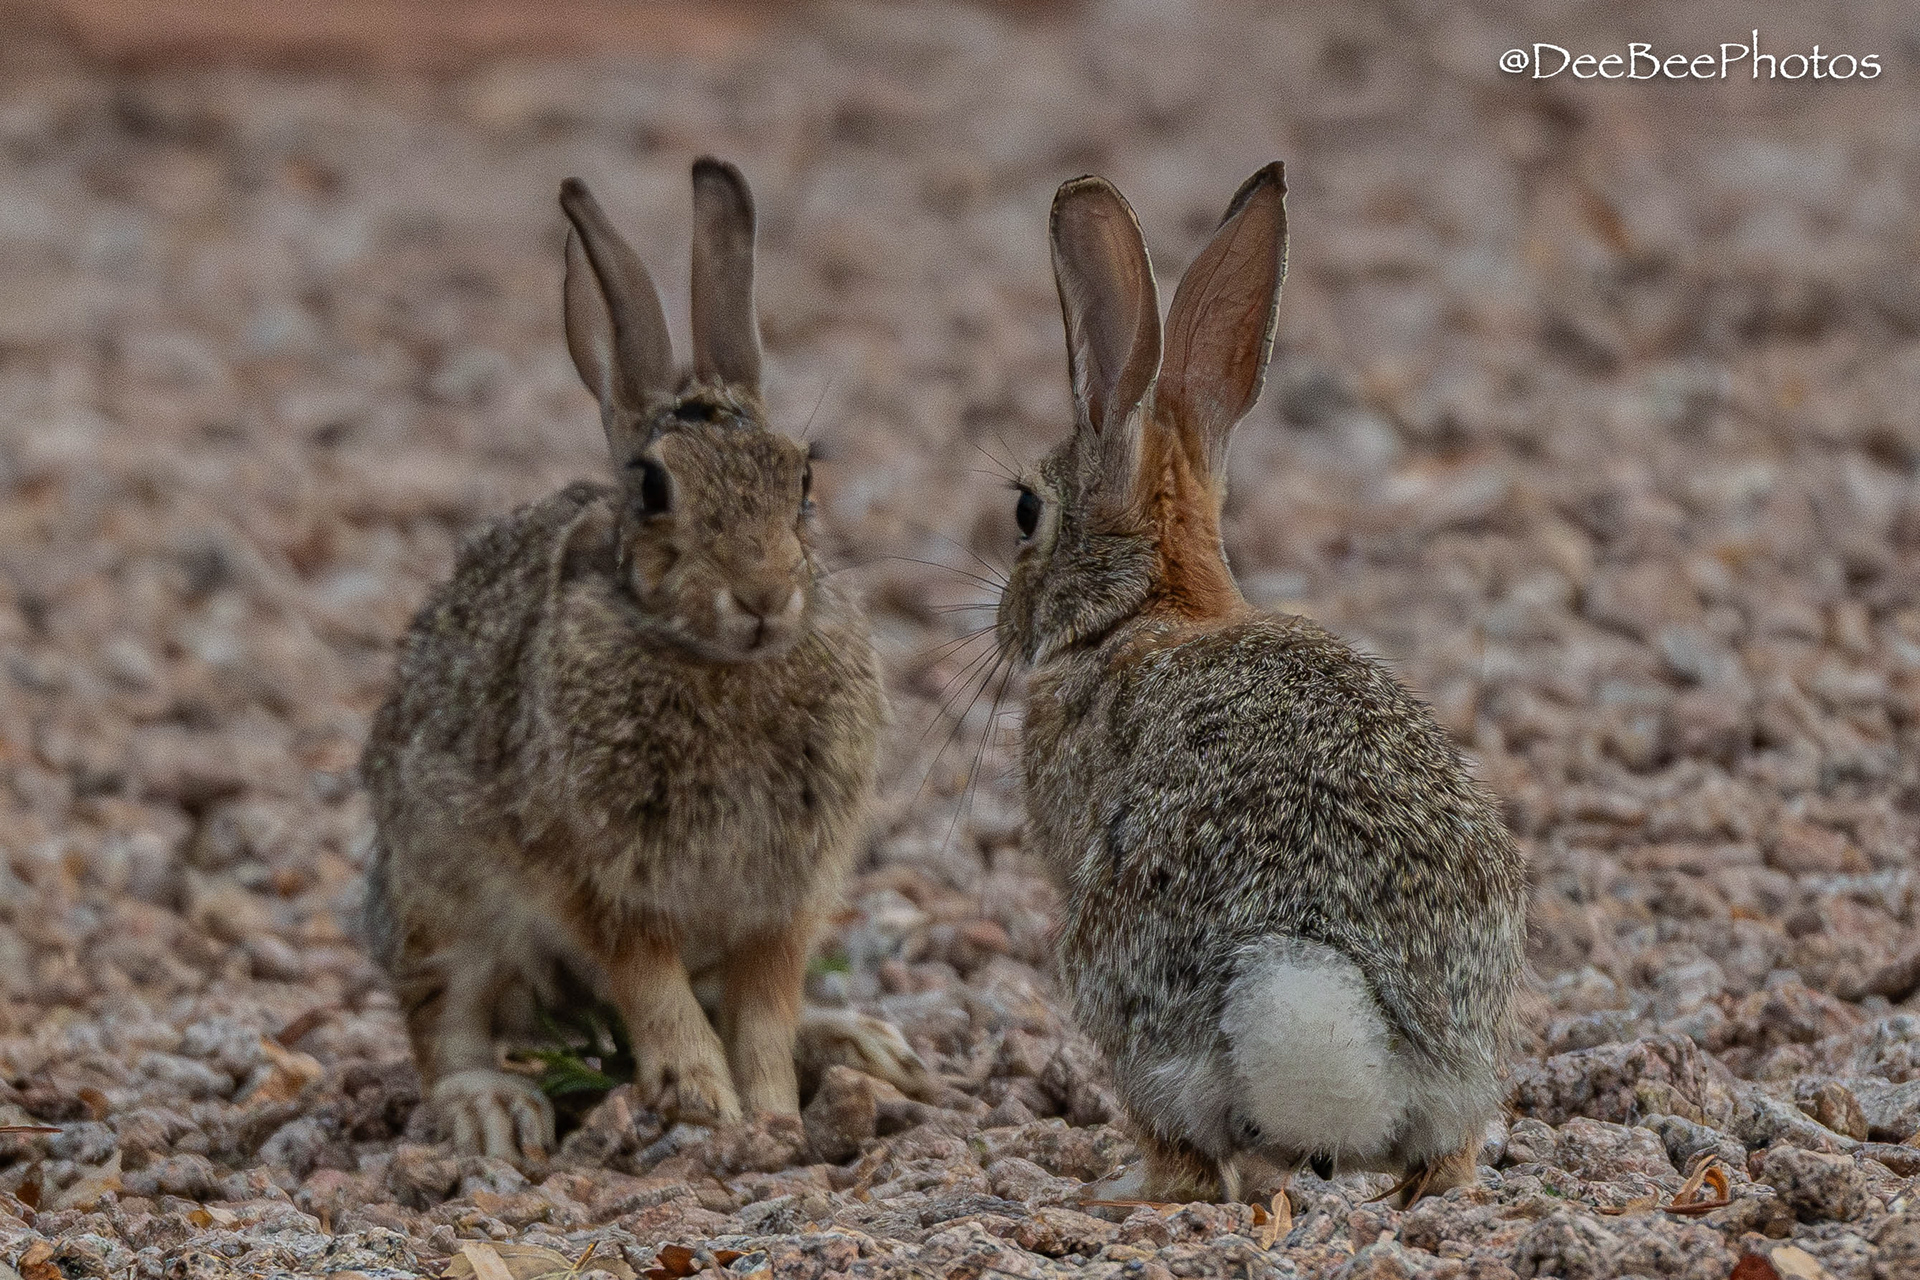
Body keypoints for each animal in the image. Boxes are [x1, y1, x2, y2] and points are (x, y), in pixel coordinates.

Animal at [359, 158, 930, 1166]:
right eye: (654, 487)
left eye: (803, 478)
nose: (763, 594)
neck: (712, 660)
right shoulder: (596, 877)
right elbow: (653, 988)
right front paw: (705, 1101)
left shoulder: (785, 893)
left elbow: (762, 1008)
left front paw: (774, 1114)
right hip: (442, 896)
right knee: (444, 1019)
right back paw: (490, 1111)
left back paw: (861, 1045)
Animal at [994, 163, 1528, 1206]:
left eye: (1028, 511)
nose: (1002, 624)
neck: (1151, 604)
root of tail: (1312, 982)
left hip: (1120, 996)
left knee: (1187, 1165)